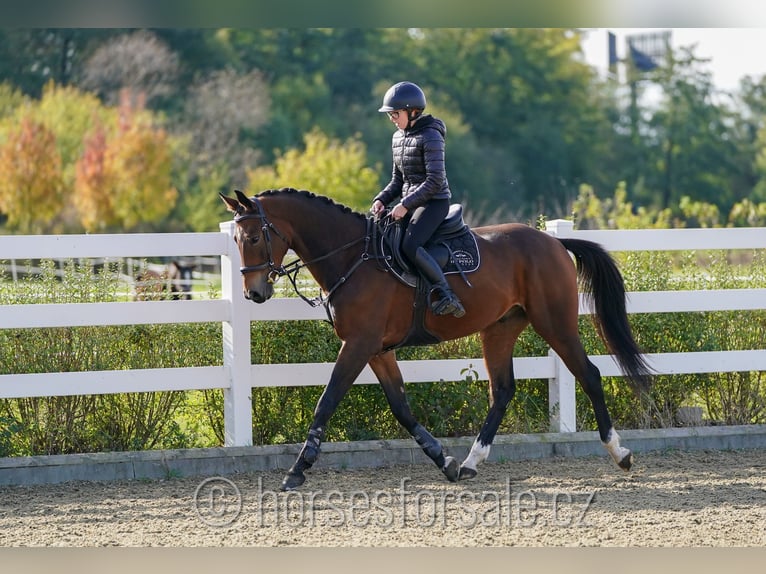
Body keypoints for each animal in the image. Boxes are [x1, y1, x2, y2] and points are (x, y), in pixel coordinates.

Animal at [220, 187, 656, 492]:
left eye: (256, 237)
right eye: (237, 240)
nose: (254, 293)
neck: (353, 257)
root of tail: (552, 242)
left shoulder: (358, 345)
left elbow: (326, 402)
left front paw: (297, 470)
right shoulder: (377, 351)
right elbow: (402, 408)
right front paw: (443, 462)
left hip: (555, 324)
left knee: (589, 375)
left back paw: (620, 454)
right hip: (500, 328)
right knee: (502, 390)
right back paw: (471, 462)